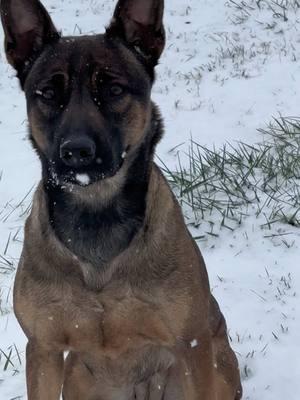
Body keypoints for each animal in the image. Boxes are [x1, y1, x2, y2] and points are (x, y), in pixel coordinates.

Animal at [1, 0, 243, 398]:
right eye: (48, 93)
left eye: (114, 89)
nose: (76, 152)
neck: (96, 211)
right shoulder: (44, 348)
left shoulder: (191, 345)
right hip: (77, 377)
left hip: (217, 368)